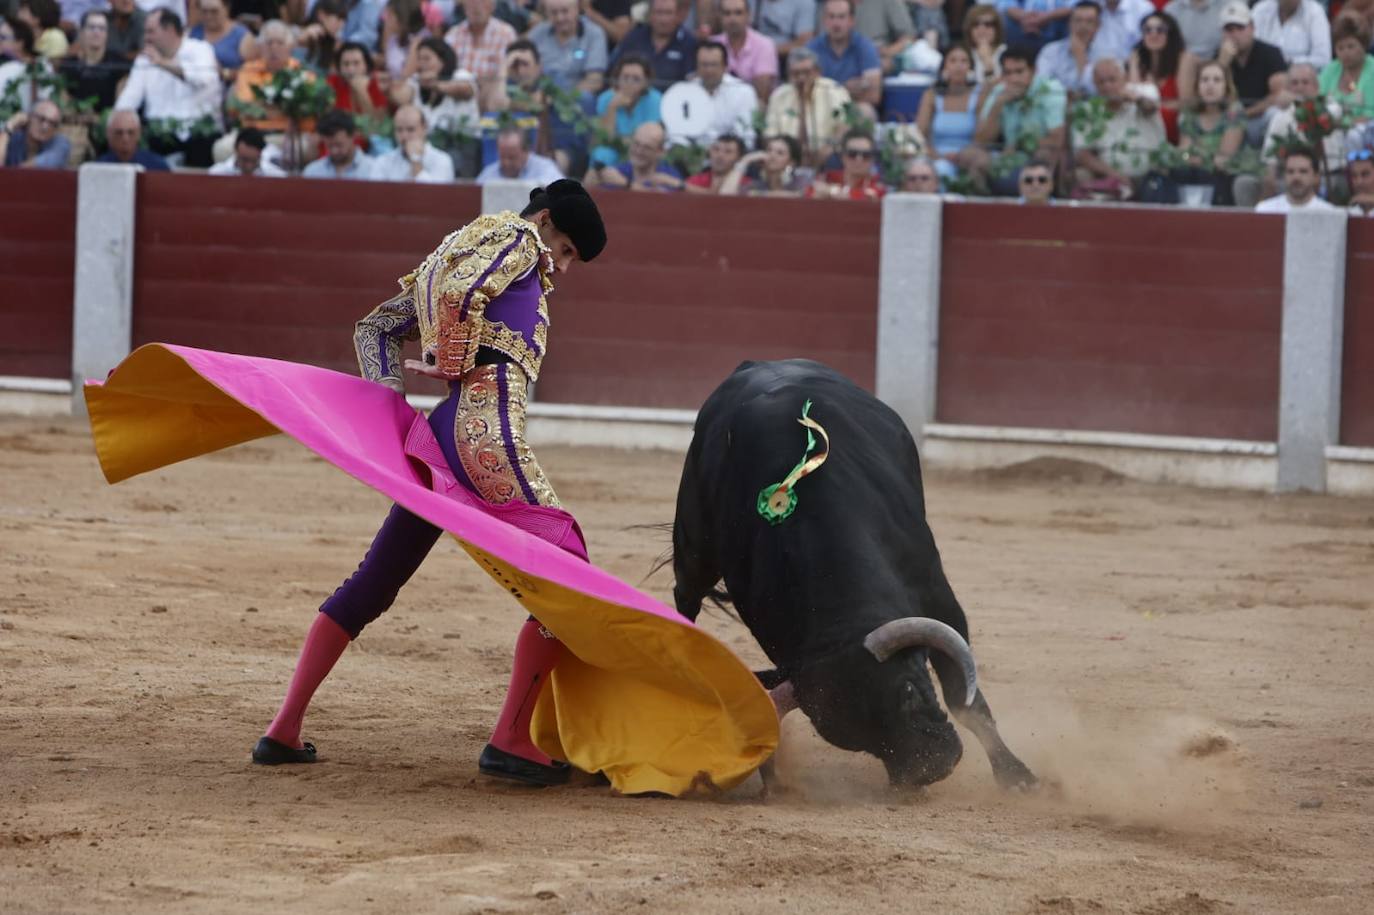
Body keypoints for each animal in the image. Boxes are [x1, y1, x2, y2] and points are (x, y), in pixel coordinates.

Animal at [670, 359, 1033, 785]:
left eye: (908, 692)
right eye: (859, 740)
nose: (930, 769)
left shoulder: (936, 592)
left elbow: (965, 699)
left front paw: (1016, 776)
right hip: (693, 544)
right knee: (686, 597)